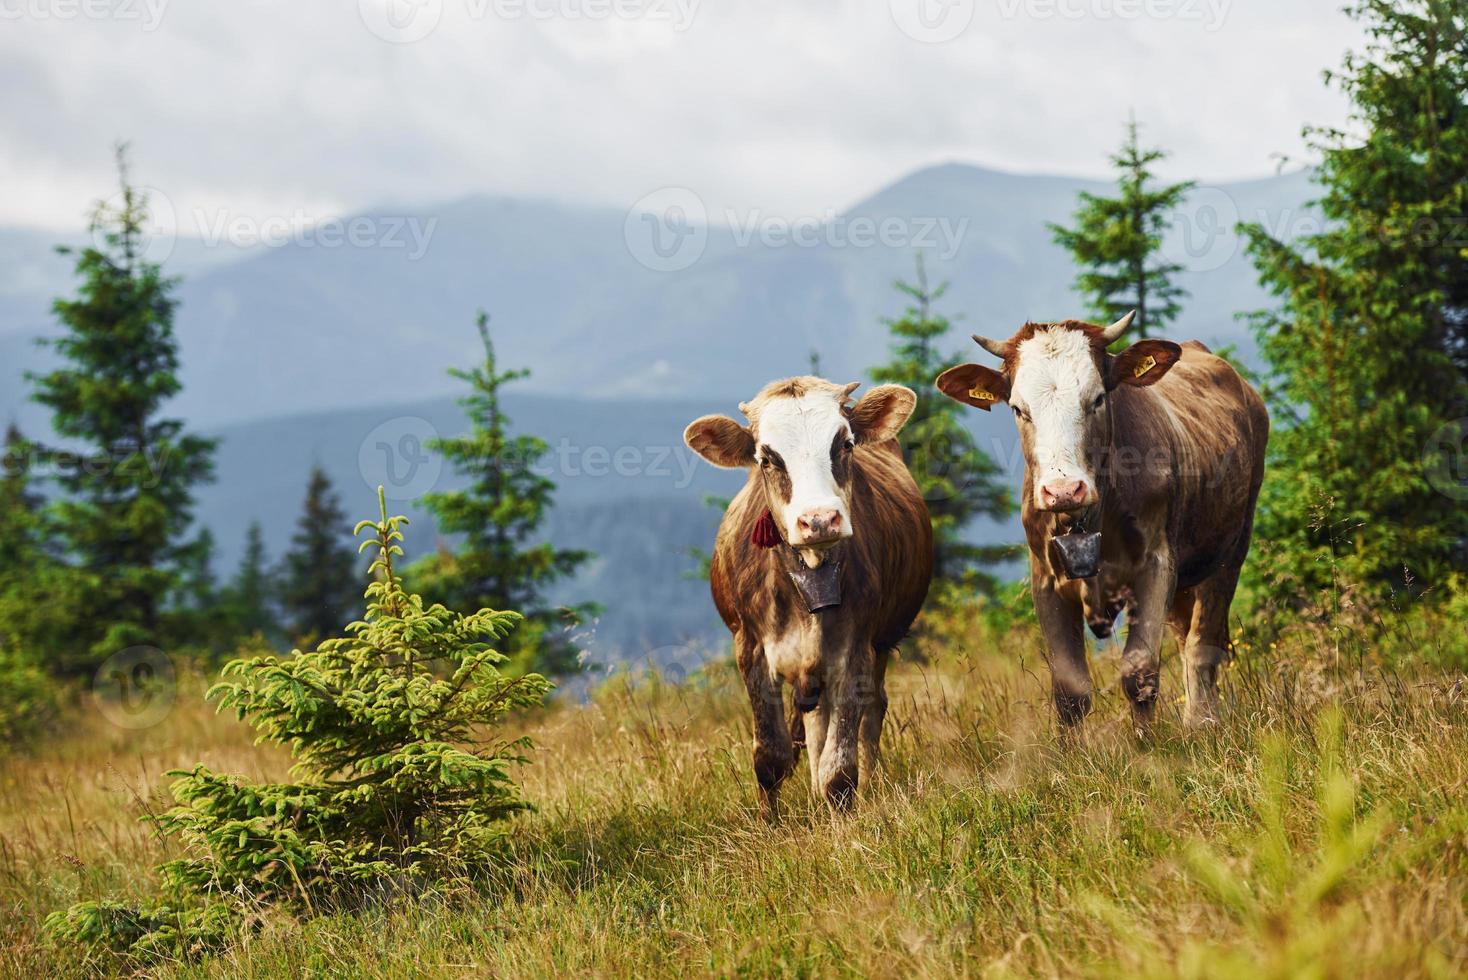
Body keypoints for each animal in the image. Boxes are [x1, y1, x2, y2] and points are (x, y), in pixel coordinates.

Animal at [684, 378, 927, 815]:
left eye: (845, 443)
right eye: (766, 458)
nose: (818, 520)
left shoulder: (856, 648)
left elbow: (840, 767)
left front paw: (841, 819)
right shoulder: (750, 647)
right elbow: (771, 756)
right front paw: (770, 823)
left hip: (879, 645)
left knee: (871, 713)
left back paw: (874, 782)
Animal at [939, 312, 1274, 727]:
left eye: (1097, 398)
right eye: (1018, 408)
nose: (1064, 489)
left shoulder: (1156, 565)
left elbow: (1139, 673)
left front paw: (1151, 743)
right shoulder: (1045, 580)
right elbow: (1070, 691)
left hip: (1230, 551)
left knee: (1202, 644)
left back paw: (1201, 721)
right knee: (1186, 638)